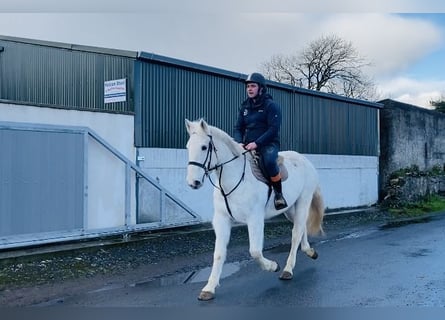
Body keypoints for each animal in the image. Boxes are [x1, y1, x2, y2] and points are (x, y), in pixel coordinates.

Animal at [184, 119, 322, 302]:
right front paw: (209, 288)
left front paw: (273, 266)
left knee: (296, 233)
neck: (234, 179)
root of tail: (305, 160)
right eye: (188, 147)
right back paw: (309, 251)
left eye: (204, 147)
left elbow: (255, 251)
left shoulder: (255, 219)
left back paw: (287, 269)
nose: (193, 182)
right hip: (290, 209)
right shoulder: (221, 219)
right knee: (301, 228)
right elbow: (219, 254)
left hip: (303, 202)